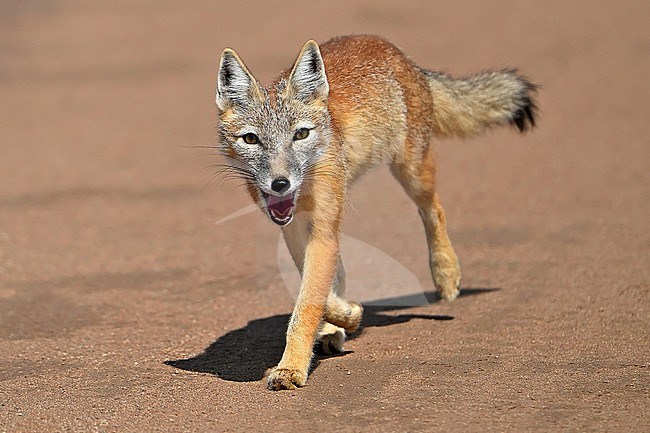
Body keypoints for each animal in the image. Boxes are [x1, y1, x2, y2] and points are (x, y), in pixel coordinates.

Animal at [215, 35, 536, 390]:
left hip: (413, 174)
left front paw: (291, 368)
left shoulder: (323, 230)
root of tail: (391, 49)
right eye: (251, 139)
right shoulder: (295, 228)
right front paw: (345, 318)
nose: (280, 183)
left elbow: (308, 303)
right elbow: (321, 289)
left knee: (434, 210)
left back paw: (446, 273)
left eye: (301, 134)